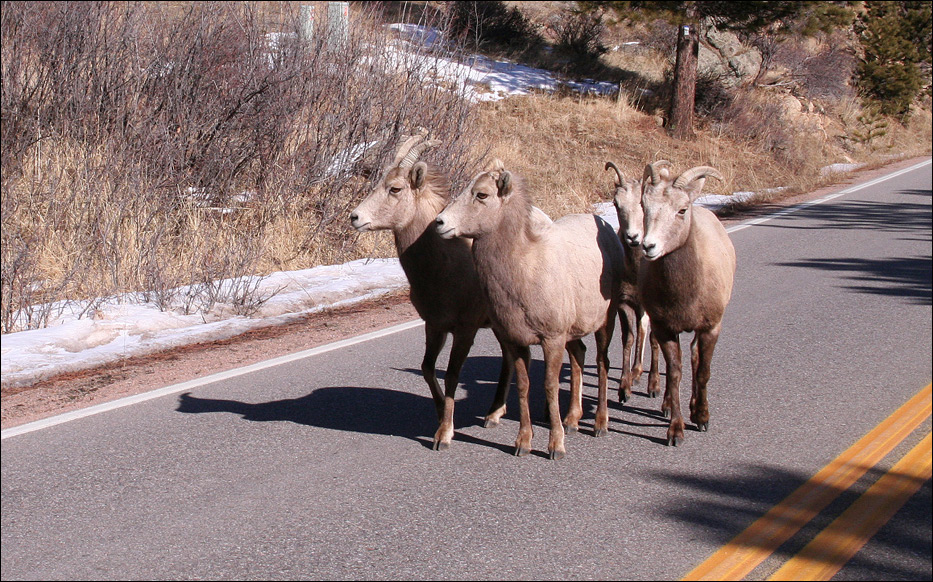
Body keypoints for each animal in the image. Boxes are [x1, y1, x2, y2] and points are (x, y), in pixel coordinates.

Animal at [349, 130, 517, 451]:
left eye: (395, 188)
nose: (355, 217)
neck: (445, 268)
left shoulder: (465, 330)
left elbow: (451, 375)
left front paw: (444, 435)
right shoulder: (434, 326)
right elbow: (427, 369)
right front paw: (440, 415)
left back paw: (495, 415)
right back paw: (494, 413)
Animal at [435, 161, 626, 460]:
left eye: (482, 194)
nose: (440, 223)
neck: (525, 270)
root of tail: (606, 228)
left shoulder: (552, 339)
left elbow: (549, 385)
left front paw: (555, 447)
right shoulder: (517, 341)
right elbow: (524, 387)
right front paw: (523, 444)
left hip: (607, 320)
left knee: (602, 363)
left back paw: (600, 425)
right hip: (573, 333)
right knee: (580, 355)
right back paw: (572, 421)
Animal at [638, 160, 736, 446]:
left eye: (681, 210)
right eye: (643, 206)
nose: (648, 246)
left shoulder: (711, 328)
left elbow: (703, 371)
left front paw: (702, 418)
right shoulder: (665, 329)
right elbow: (674, 374)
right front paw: (675, 431)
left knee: (695, 357)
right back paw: (667, 406)